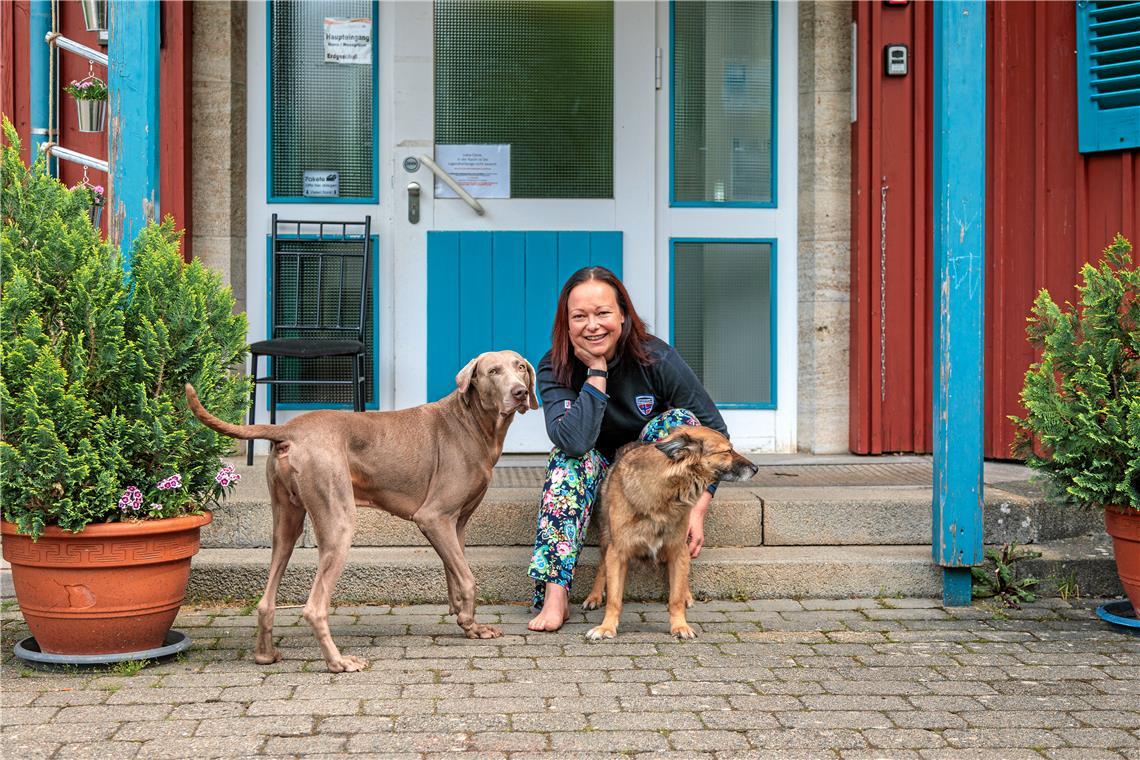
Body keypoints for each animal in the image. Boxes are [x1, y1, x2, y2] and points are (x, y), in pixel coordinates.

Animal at [188, 350, 538, 669]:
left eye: (521, 367)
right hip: (339, 520)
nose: (520, 392)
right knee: (314, 607)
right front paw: (469, 623)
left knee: (266, 597)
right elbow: (467, 579)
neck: (472, 422)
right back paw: (338, 662)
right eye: (493, 371)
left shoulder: (457, 523)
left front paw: (469, 624)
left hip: (286, 521)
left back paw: (265, 654)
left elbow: (455, 573)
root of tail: (289, 430)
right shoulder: (434, 517)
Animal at [588, 426, 756, 638]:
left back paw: (686, 594)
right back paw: (594, 595)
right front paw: (606, 627)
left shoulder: (678, 550)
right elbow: (614, 599)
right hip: (606, 537)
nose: (756, 468)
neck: (666, 494)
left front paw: (680, 626)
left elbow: (675, 598)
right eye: (727, 451)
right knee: (602, 566)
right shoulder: (618, 552)